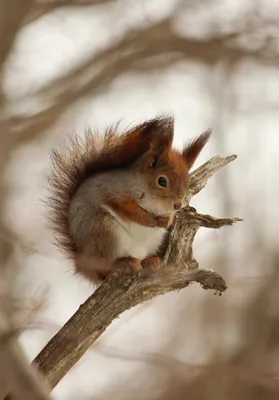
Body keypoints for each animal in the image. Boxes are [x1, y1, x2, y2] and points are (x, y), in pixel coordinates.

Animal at [47, 115, 211, 284]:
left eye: (187, 182)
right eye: (162, 181)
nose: (177, 205)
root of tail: (82, 264)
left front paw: (168, 219)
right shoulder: (114, 192)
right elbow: (130, 210)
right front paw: (151, 220)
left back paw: (150, 261)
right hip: (103, 230)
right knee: (104, 267)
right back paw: (123, 263)